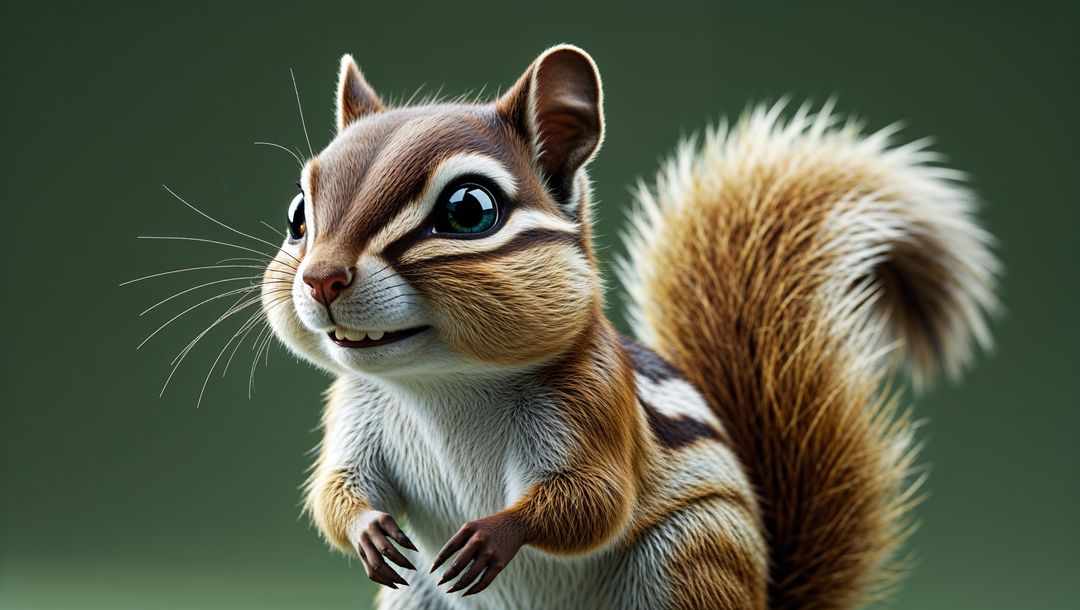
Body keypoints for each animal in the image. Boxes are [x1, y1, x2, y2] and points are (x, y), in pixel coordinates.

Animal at [259, 45, 1000, 609]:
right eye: (298, 214)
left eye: (470, 210)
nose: (321, 278)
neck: (442, 385)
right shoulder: (354, 414)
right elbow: (335, 490)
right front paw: (368, 531)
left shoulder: (592, 404)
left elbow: (594, 501)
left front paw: (495, 533)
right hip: (416, 594)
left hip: (692, 556)